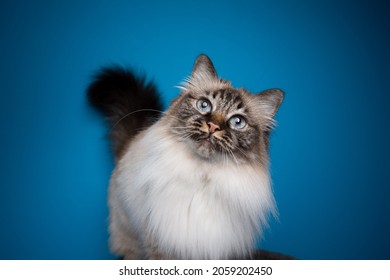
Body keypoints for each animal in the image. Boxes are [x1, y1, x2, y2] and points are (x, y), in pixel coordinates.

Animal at [87, 53, 284, 260]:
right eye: (204, 105)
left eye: (238, 122)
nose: (213, 126)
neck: (202, 176)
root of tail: (130, 143)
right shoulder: (161, 245)